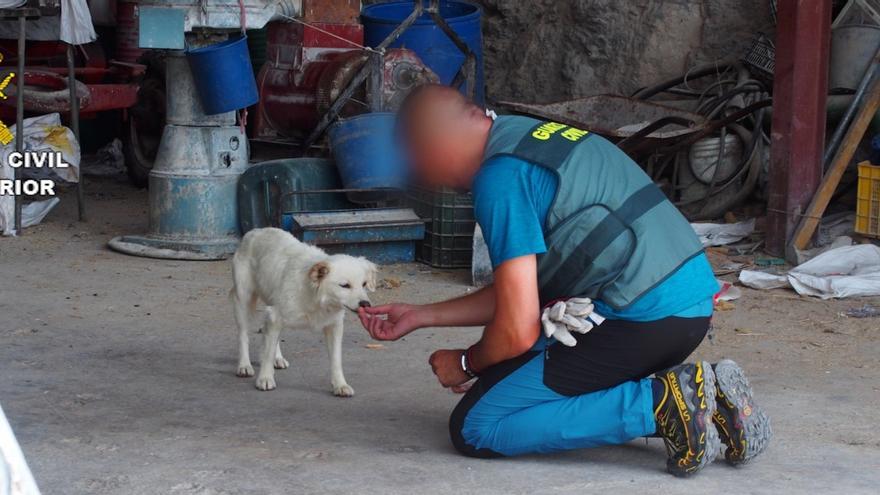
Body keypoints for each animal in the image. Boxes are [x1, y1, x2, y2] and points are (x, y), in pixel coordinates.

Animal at [229, 228, 376, 396]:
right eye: (345, 285)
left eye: (364, 284)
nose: (365, 304)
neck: (316, 297)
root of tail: (255, 231)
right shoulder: (275, 316)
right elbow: (266, 352)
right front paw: (265, 378)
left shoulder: (334, 326)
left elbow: (336, 360)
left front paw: (340, 384)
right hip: (242, 300)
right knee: (243, 335)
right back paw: (244, 365)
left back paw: (277, 358)